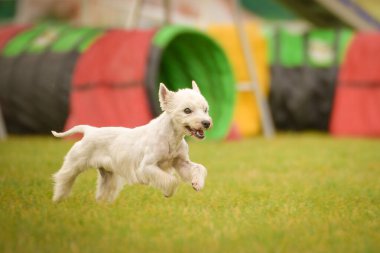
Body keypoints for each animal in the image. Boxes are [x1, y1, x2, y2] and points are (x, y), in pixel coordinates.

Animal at [51, 80, 211, 203]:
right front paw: (167, 192)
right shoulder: (147, 166)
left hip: (108, 176)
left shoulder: (180, 162)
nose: (206, 123)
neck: (172, 137)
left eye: (205, 109)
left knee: (104, 191)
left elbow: (200, 168)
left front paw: (197, 183)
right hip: (75, 163)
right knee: (64, 179)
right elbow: (172, 180)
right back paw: (58, 200)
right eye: (187, 110)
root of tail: (89, 130)